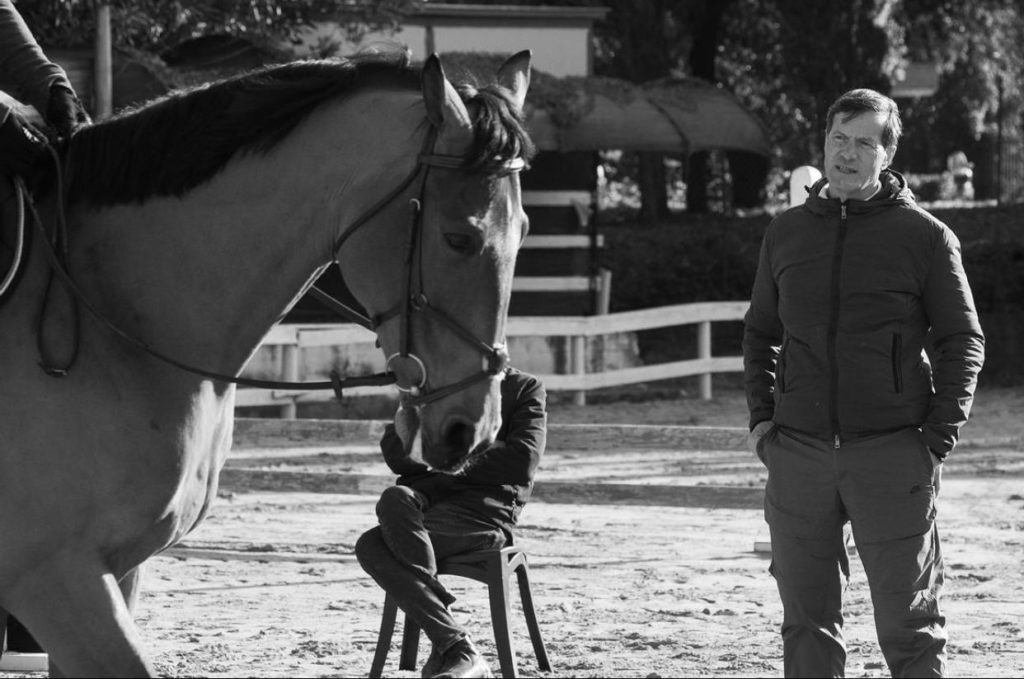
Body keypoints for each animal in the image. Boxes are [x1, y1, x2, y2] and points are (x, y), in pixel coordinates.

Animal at [0, 50, 540, 675]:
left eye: (523, 232)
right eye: (459, 239)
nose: (472, 430)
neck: (110, 310)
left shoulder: (117, 569)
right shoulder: (57, 578)